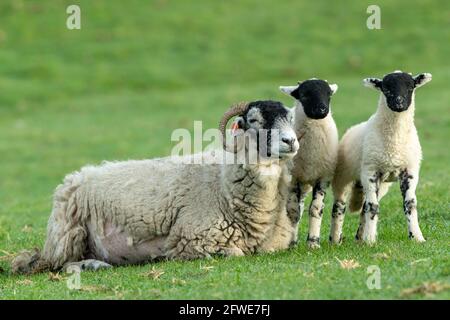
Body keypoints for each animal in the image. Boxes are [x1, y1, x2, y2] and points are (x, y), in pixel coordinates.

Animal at [11, 99, 298, 274]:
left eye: (289, 118)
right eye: (254, 120)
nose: (291, 141)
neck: (223, 185)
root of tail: (75, 176)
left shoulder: (274, 246)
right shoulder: (193, 240)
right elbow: (234, 254)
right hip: (68, 235)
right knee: (60, 265)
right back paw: (94, 266)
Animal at [280, 79, 340, 249]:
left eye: (328, 94)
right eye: (304, 95)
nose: (321, 110)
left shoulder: (323, 177)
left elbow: (316, 209)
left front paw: (313, 243)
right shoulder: (293, 178)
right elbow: (293, 211)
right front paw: (292, 244)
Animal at [330, 71, 432, 244]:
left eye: (410, 87)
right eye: (386, 88)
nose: (399, 103)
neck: (394, 144)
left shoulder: (410, 171)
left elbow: (410, 204)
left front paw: (417, 237)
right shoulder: (370, 171)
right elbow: (373, 206)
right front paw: (371, 240)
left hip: (382, 184)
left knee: (363, 207)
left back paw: (360, 237)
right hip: (343, 177)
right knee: (339, 206)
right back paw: (336, 239)